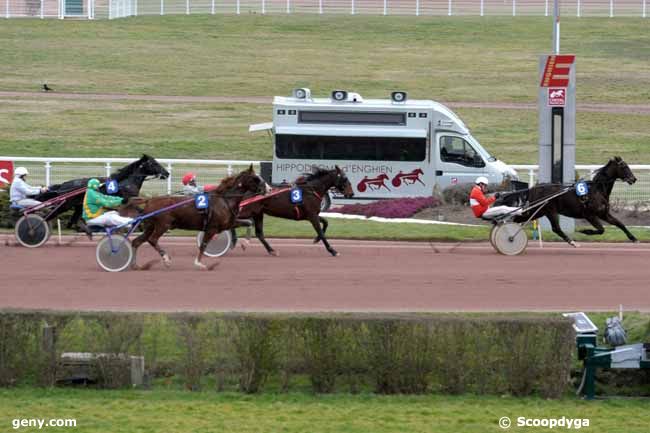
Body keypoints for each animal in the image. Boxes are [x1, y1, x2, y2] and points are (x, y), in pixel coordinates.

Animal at [33, 154, 168, 231]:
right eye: (155, 163)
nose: (167, 173)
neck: (127, 181)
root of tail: (65, 184)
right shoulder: (129, 200)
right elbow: (139, 211)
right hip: (66, 205)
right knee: (50, 216)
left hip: (77, 206)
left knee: (72, 223)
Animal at [125, 165, 268, 270]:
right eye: (256, 178)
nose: (268, 188)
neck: (224, 200)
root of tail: (150, 200)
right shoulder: (211, 228)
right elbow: (203, 245)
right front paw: (199, 263)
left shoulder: (228, 224)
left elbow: (249, 222)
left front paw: (245, 243)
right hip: (163, 225)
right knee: (153, 239)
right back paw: (166, 259)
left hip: (150, 226)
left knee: (137, 241)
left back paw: (136, 265)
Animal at [498, 156, 636, 245]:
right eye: (624, 167)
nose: (634, 179)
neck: (597, 190)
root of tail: (533, 188)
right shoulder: (589, 215)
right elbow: (601, 229)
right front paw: (586, 231)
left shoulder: (604, 214)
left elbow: (620, 224)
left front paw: (633, 238)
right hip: (549, 211)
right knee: (556, 228)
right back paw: (572, 241)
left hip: (540, 211)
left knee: (520, 219)